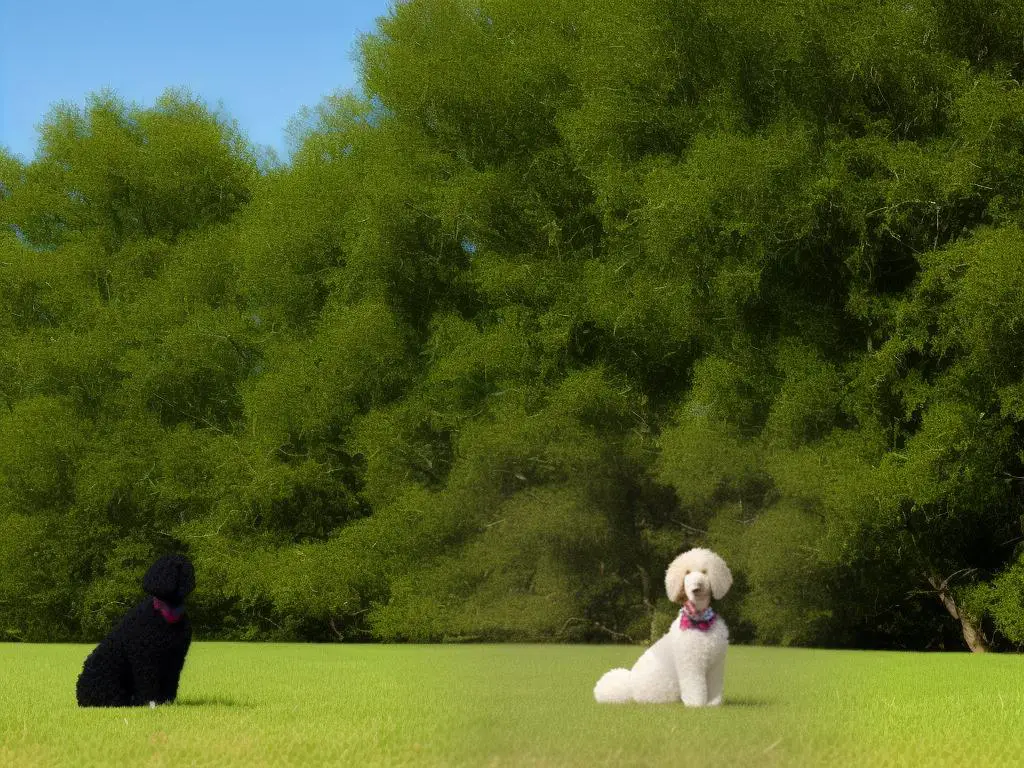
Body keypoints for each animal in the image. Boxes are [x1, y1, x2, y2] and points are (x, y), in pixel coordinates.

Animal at [75, 552, 195, 708]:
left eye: (184, 566)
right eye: (165, 567)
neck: (168, 610)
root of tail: (80, 695)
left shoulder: (175, 658)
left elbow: (170, 683)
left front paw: (166, 701)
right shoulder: (145, 658)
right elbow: (147, 683)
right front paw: (149, 701)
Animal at [593, 548, 737, 708]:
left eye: (705, 572)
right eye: (687, 572)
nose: (696, 588)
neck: (700, 621)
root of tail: (630, 687)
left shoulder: (716, 664)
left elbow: (715, 686)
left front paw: (713, 704)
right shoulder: (691, 664)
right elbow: (694, 687)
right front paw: (696, 705)